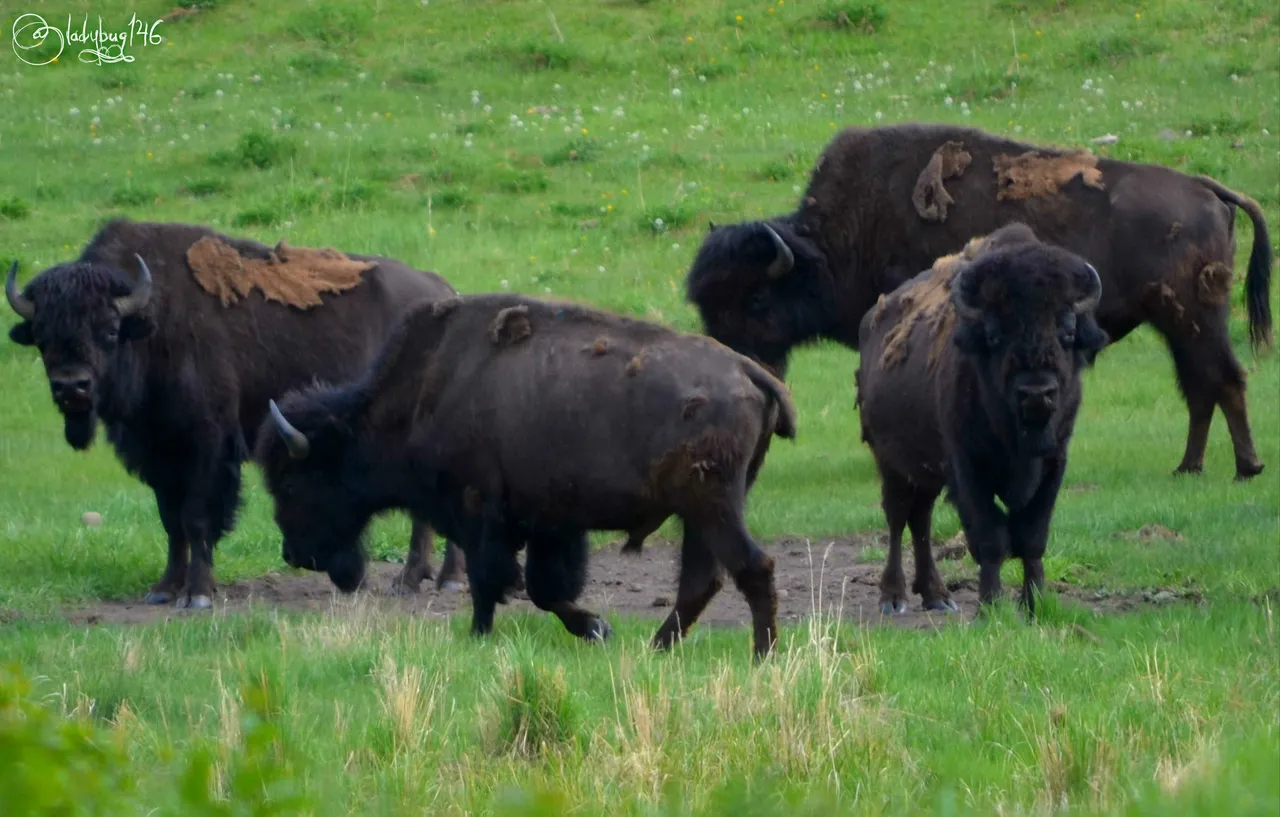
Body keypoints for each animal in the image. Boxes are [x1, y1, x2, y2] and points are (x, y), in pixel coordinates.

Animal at [5, 218, 473, 608]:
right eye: (42, 337)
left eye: (108, 330)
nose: (72, 387)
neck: (152, 322)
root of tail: (443, 292)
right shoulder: (159, 456)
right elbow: (170, 523)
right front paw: (164, 590)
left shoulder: (207, 448)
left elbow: (196, 520)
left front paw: (197, 595)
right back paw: (414, 581)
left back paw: (443, 580)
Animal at [256, 293, 798, 658]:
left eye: (292, 483)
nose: (294, 553)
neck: (425, 393)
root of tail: (750, 371)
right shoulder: (549, 525)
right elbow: (542, 588)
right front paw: (597, 629)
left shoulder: (480, 514)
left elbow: (493, 581)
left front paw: (481, 635)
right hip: (700, 513)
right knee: (701, 581)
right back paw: (657, 648)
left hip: (711, 506)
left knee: (752, 567)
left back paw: (762, 656)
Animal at [686, 122, 1273, 480]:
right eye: (706, 308)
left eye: (756, 299)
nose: (736, 367)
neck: (837, 240)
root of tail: (1206, 190)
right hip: (1175, 324)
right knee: (1199, 388)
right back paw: (1189, 467)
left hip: (1194, 318)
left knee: (1223, 380)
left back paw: (1245, 467)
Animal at [855, 223, 1107, 614]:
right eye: (994, 334)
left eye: (1067, 331)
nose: (1036, 393)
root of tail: (872, 323)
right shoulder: (969, 468)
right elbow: (990, 538)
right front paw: (990, 607)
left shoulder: (1054, 463)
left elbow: (1032, 537)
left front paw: (1033, 605)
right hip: (891, 462)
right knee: (898, 518)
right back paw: (893, 598)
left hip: (925, 473)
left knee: (920, 520)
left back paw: (938, 596)